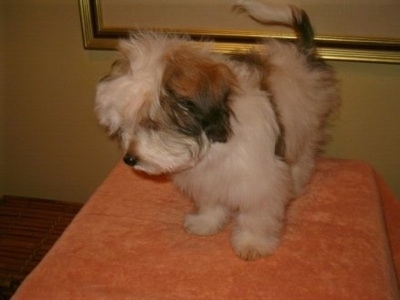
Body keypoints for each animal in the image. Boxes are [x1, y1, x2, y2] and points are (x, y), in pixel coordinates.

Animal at [95, 0, 340, 260]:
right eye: (124, 125)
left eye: (152, 124)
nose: (129, 159)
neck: (216, 141)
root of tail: (302, 53)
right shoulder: (209, 179)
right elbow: (211, 202)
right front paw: (206, 222)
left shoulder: (259, 180)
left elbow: (256, 214)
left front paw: (252, 242)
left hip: (308, 125)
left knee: (304, 156)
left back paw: (296, 181)